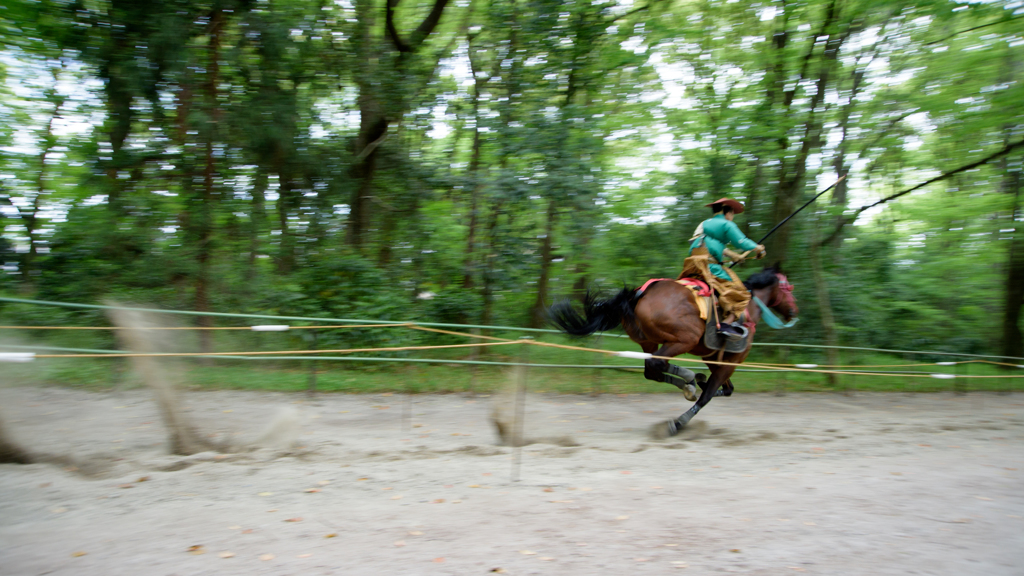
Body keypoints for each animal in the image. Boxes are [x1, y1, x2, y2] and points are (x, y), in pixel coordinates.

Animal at [552, 266, 798, 434]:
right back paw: (688, 380)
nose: (793, 311)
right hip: (684, 339)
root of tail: (639, 295)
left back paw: (689, 382)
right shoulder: (730, 362)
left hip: (651, 342)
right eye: (788, 288)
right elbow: (709, 395)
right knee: (657, 364)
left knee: (653, 369)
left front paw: (699, 383)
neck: (748, 308)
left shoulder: (715, 359)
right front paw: (680, 421)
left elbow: (725, 390)